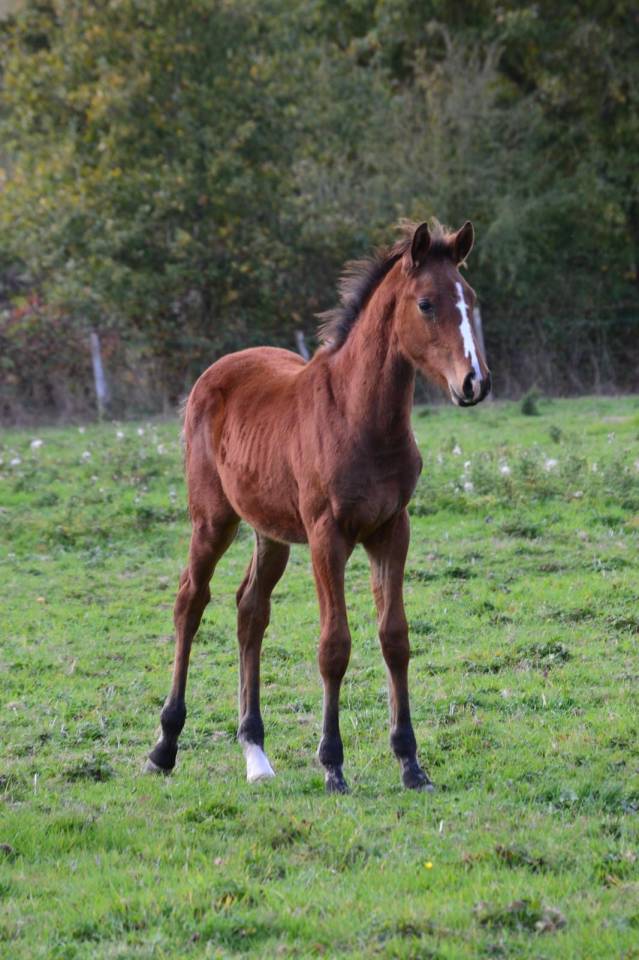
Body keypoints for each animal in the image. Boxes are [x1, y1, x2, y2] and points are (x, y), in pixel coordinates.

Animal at [146, 219, 491, 793]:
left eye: (472, 299)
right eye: (426, 303)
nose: (475, 383)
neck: (360, 417)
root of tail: (211, 374)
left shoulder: (392, 530)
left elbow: (394, 637)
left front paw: (410, 763)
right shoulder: (327, 536)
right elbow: (335, 645)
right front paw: (332, 763)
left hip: (271, 532)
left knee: (250, 610)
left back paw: (256, 754)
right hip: (213, 520)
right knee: (190, 602)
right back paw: (164, 747)